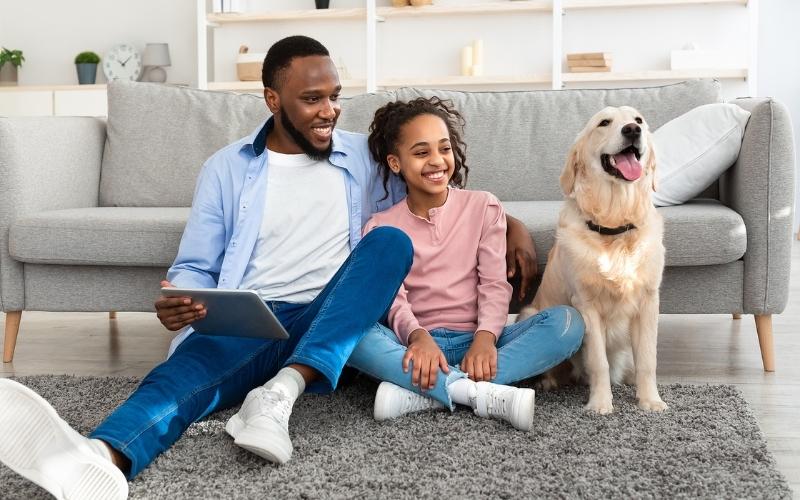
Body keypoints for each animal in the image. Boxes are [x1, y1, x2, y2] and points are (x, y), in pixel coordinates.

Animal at [516, 105, 664, 414]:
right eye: (604, 123)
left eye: (639, 120)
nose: (632, 130)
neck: (614, 225)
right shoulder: (587, 305)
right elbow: (599, 362)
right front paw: (600, 404)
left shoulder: (648, 300)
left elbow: (647, 359)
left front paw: (650, 400)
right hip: (529, 312)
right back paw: (548, 382)